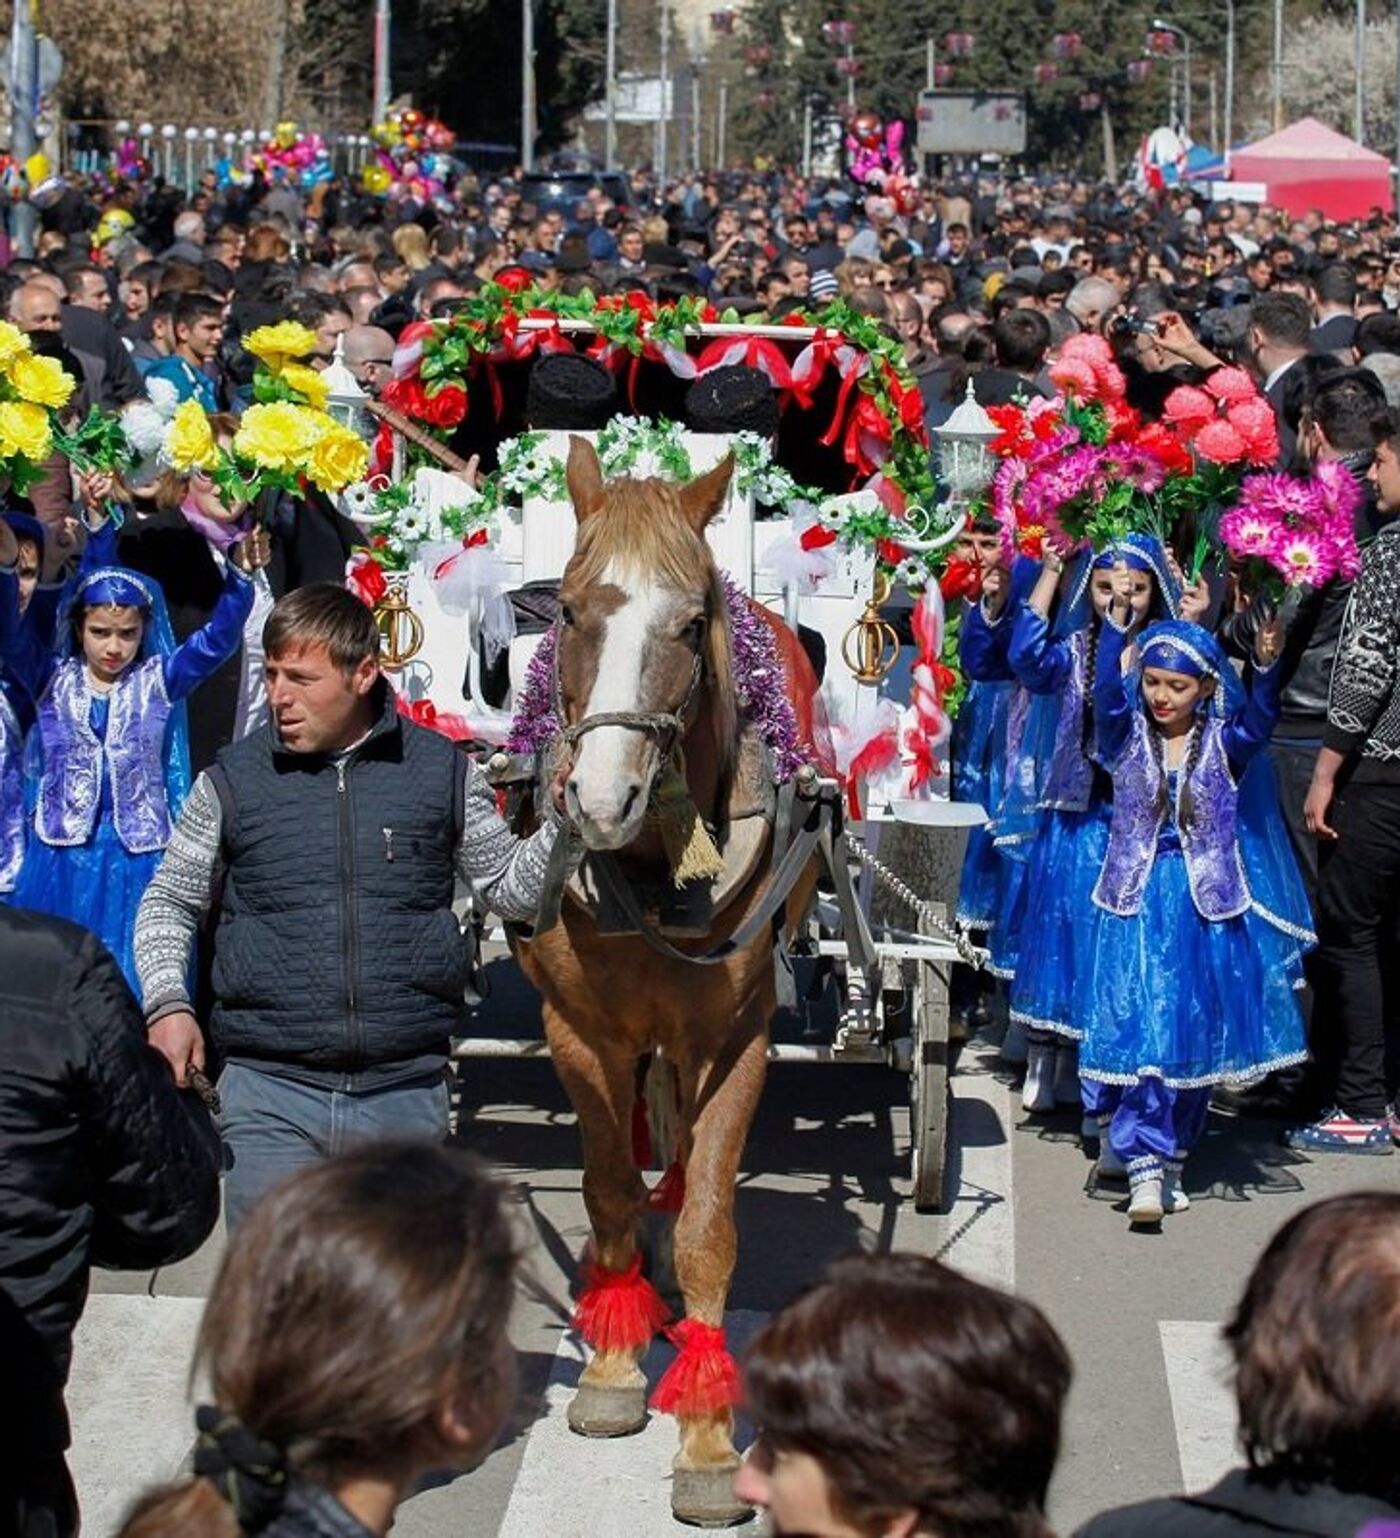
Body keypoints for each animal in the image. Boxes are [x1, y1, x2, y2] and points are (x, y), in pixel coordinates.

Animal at [513, 433, 824, 1525]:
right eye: (568, 610)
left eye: (691, 623)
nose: (599, 799)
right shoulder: (576, 1031)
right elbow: (609, 1190)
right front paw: (609, 1365)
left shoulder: (737, 1039)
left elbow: (708, 1227)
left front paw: (706, 1430)